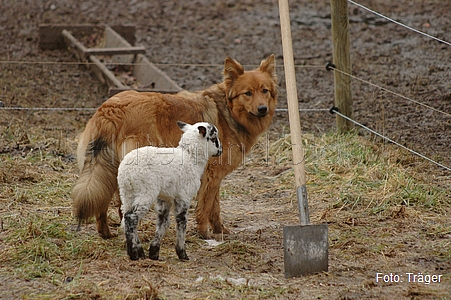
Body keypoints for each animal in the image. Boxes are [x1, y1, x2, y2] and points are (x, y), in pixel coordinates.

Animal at [73, 53, 278, 237]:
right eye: (248, 93)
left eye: (265, 91)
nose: (262, 109)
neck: (228, 111)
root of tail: (111, 109)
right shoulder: (211, 175)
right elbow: (206, 206)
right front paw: (204, 234)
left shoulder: (214, 176)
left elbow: (215, 207)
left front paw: (220, 230)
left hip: (107, 168)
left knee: (104, 200)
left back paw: (106, 233)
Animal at [117, 120, 222, 260]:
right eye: (214, 138)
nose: (221, 150)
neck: (189, 157)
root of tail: (125, 172)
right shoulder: (183, 196)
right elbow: (181, 221)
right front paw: (182, 253)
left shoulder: (164, 197)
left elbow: (163, 222)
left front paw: (154, 252)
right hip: (145, 192)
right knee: (131, 217)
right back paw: (134, 253)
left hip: (126, 194)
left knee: (126, 219)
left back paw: (137, 251)